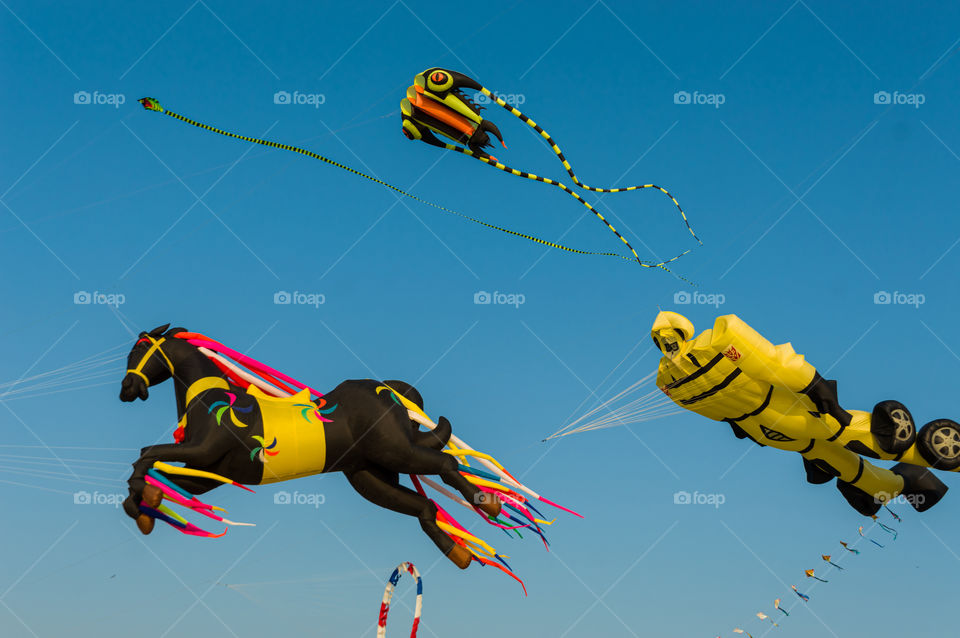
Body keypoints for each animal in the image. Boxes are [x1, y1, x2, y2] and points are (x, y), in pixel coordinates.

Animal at [120, 324, 501, 569]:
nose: (126, 389)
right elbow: (151, 477)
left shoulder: (203, 453)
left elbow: (145, 455)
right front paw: (145, 507)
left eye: (137, 350)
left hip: (396, 451)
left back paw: (488, 501)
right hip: (370, 476)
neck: (209, 400)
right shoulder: (206, 475)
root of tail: (388, 391)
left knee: (447, 466)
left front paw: (145, 499)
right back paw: (458, 553)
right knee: (425, 507)